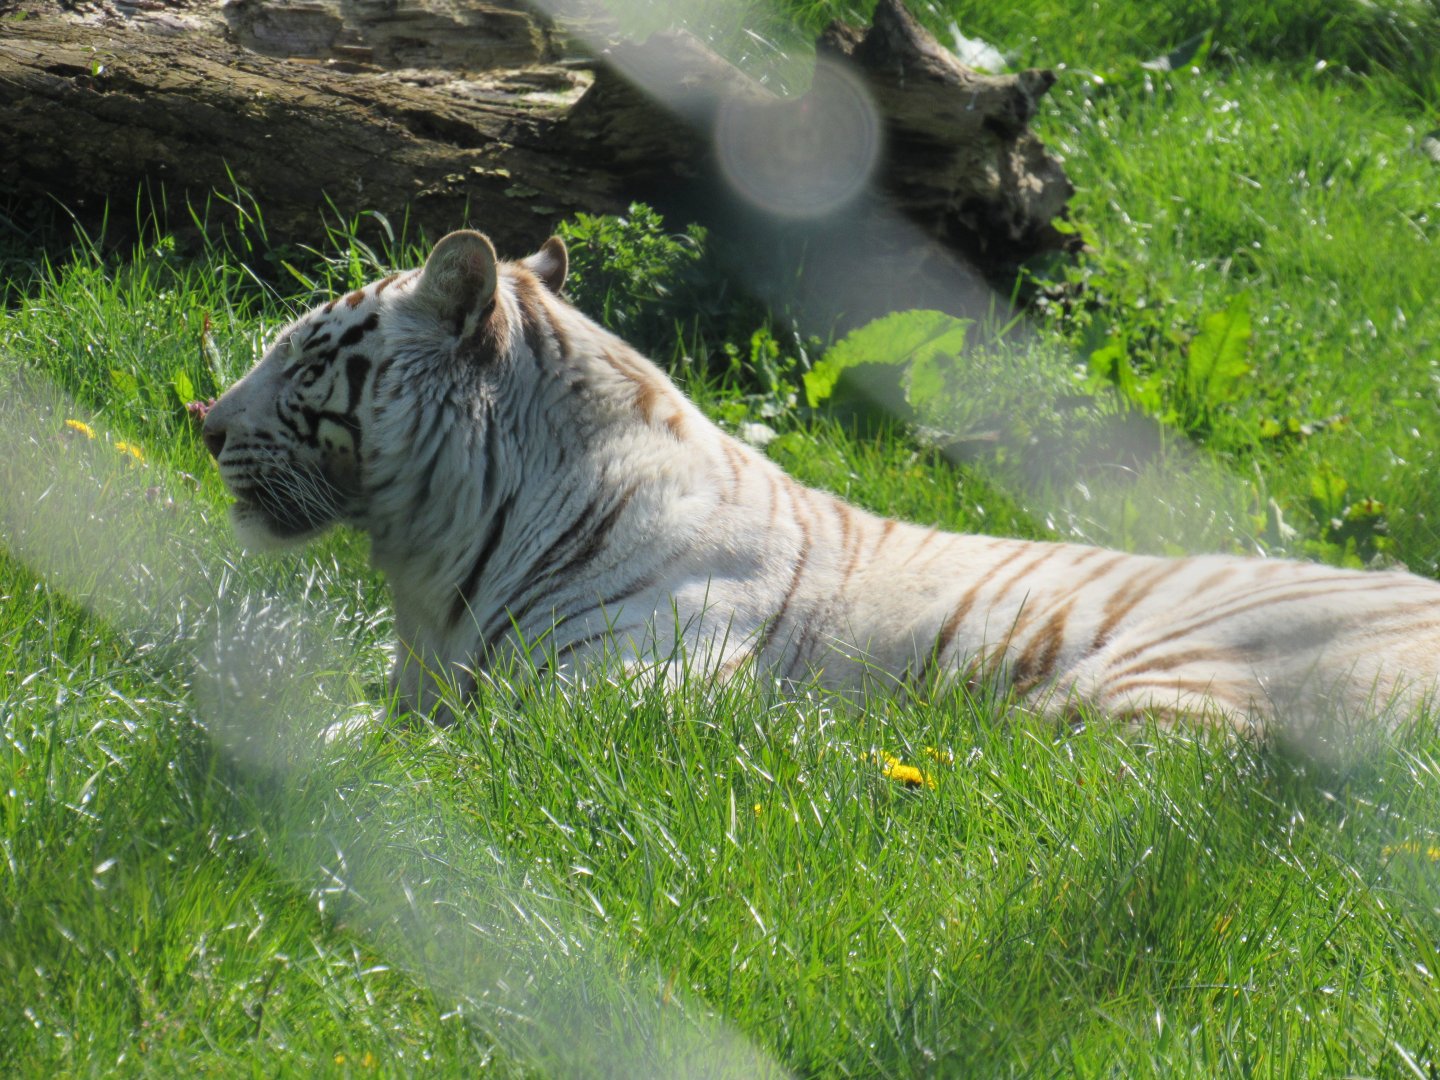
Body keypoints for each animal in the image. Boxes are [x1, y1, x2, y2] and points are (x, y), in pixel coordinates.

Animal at [201, 228, 1440, 730]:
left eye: (305, 359)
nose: (204, 426)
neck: (431, 555)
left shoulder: (614, 697)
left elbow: (441, 749)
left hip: (1146, 689)